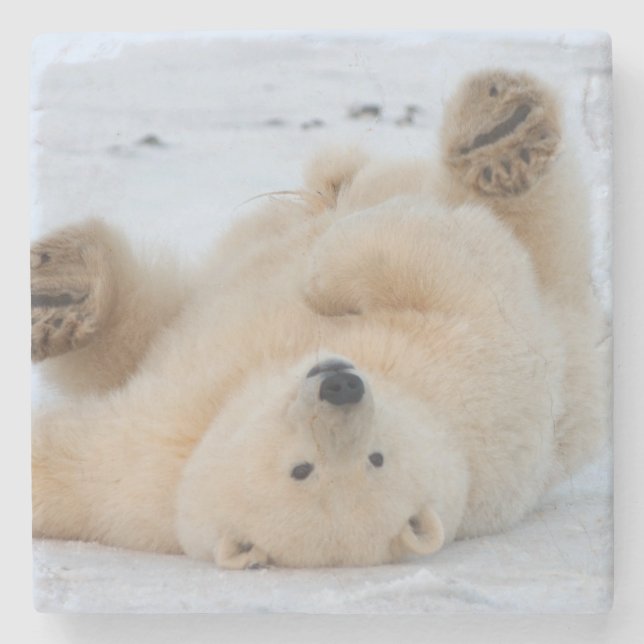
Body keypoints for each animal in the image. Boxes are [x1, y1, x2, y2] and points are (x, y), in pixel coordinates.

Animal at [31, 69, 608, 570]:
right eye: (302, 469)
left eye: (375, 458)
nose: (340, 385)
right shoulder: (141, 468)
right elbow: (66, 464)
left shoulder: (475, 376)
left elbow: (439, 263)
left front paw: (322, 280)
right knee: (148, 315)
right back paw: (61, 293)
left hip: (565, 314)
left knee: (534, 220)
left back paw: (502, 135)